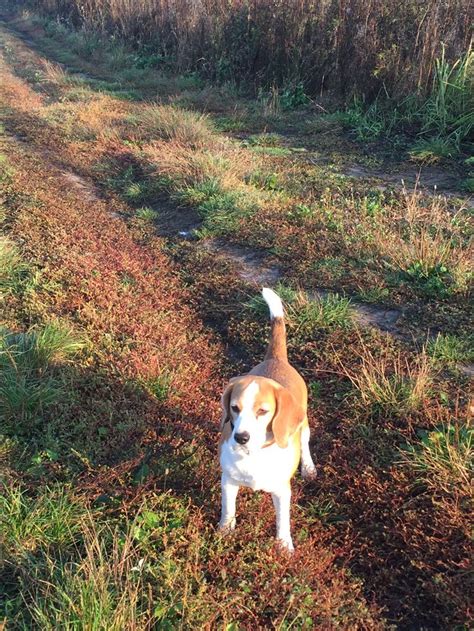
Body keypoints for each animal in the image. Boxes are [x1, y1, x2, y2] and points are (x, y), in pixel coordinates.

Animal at [218, 288, 314, 552]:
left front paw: (284, 546)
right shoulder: (228, 480)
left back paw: (308, 467)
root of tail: (277, 359)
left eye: (262, 411)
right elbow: (228, 508)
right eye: (234, 408)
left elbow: (283, 520)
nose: (241, 437)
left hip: (303, 424)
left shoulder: (282, 491)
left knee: (305, 442)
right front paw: (225, 531)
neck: (254, 454)